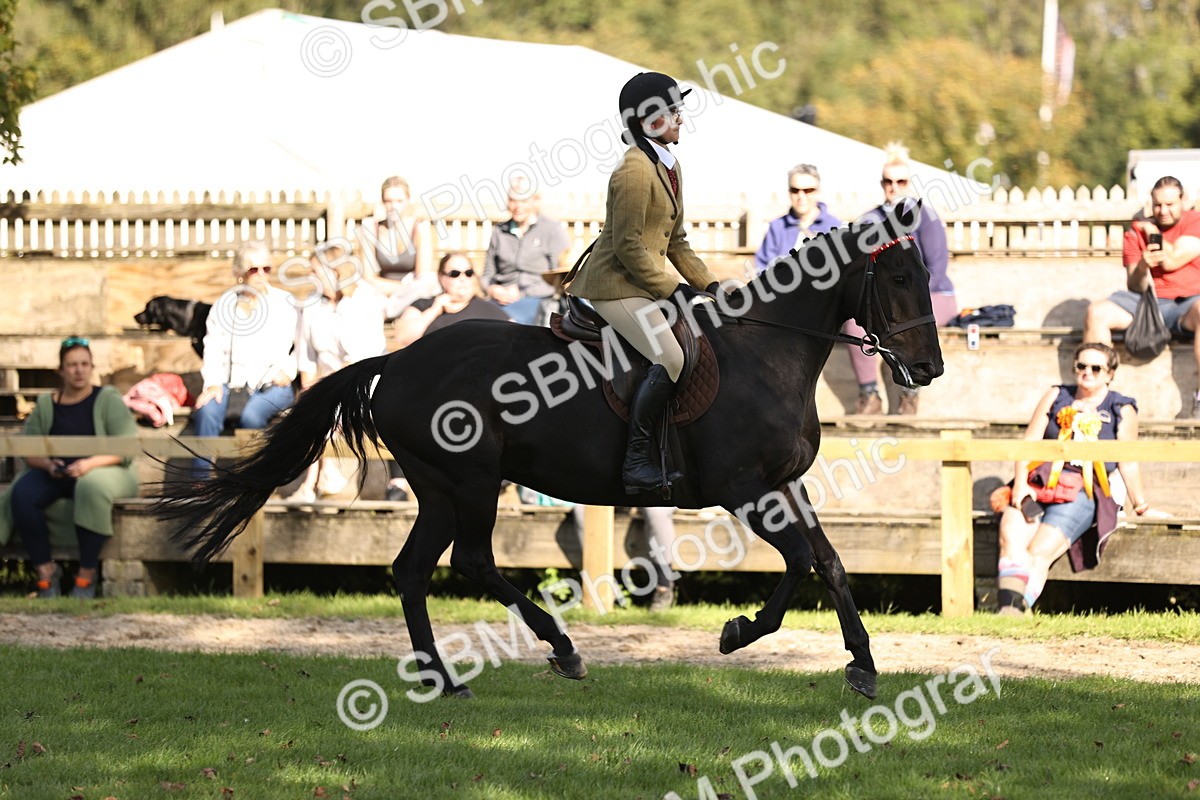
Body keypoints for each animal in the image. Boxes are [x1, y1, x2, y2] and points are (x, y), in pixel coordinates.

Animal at [153, 208, 943, 701]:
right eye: (900, 279)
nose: (929, 368)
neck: (767, 351)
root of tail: (398, 359)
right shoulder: (745, 489)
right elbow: (804, 562)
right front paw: (740, 632)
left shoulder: (784, 486)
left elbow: (829, 563)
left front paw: (861, 665)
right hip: (470, 481)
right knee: (471, 562)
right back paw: (560, 649)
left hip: (440, 488)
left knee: (412, 571)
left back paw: (444, 680)